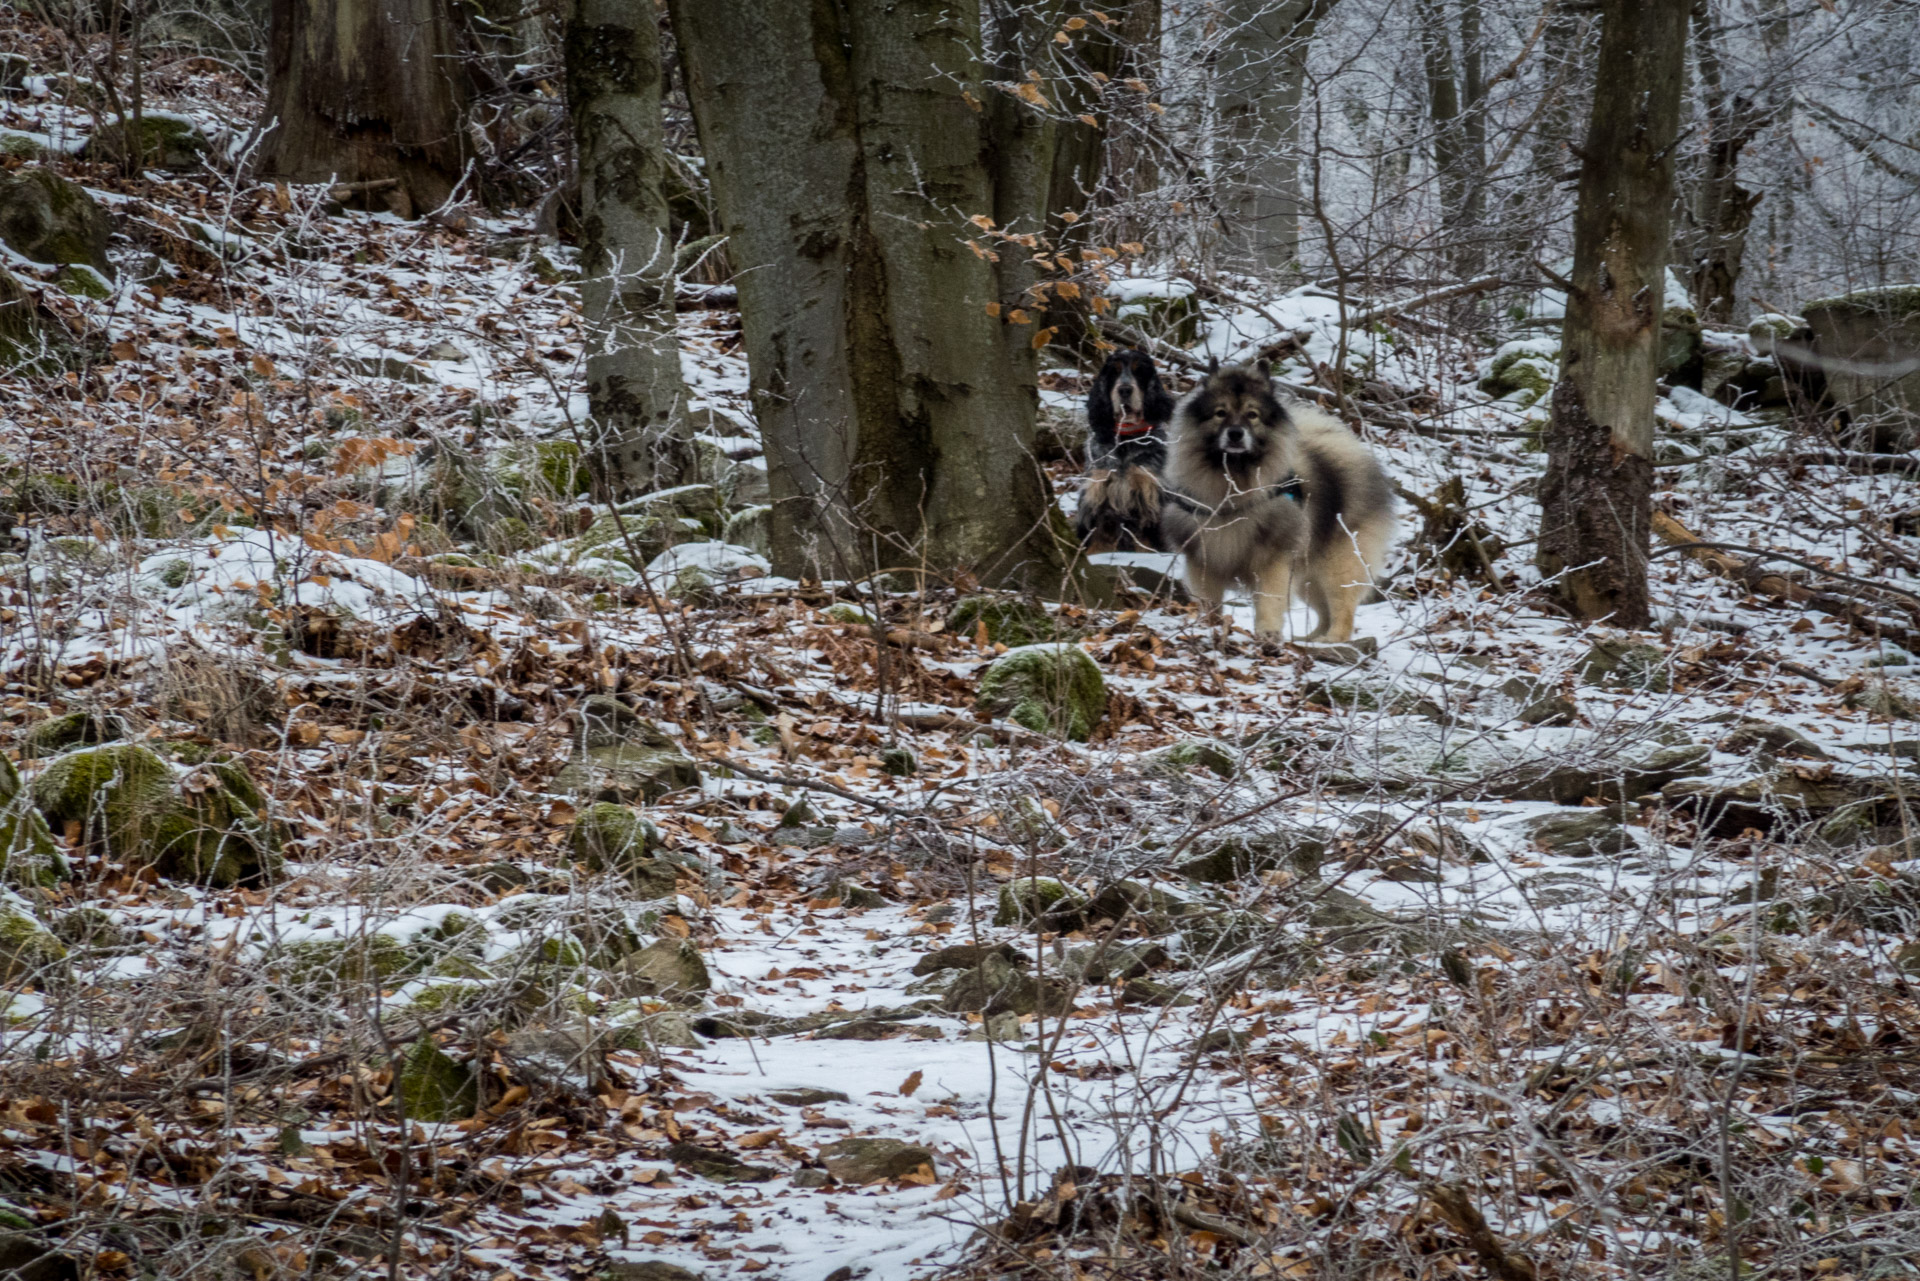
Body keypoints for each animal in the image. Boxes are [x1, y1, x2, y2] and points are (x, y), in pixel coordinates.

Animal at [1075, 347, 1175, 553]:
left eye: (1140, 371)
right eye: (1113, 372)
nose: (1125, 389)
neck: (1126, 438)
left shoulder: (1150, 494)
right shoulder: (1097, 495)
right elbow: (1097, 540)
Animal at [1152, 359, 1397, 641]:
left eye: (1252, 415)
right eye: (1220, 413)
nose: (1235, 434)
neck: (1234, 485)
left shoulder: (1274, 558)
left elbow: (1269, 599)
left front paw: (1267, 632)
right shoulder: (1203, 560)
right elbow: (1208, 600)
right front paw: (1208, 624)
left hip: (1336, 564)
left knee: (1341, 608)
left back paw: (1332, 640)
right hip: (1308, 572)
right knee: (1323, 612)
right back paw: (1310, 640)